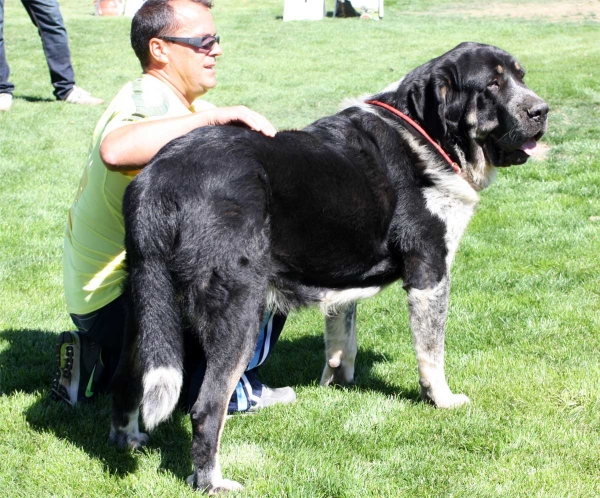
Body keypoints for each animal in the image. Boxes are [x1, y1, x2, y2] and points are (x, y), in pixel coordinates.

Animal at [109, 43, 548, 494]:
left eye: (521, 77)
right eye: (492, 84)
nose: (542, 111)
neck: (427, 134)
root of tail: (159, 178)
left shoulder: (345, 279)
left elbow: (342, 336)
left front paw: (337, 384)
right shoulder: (430, 272)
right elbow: (432, 352)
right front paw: (441, 400)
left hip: (146, 308)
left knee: (125, 381)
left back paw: (129, 439)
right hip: (240, 310)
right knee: (207, 407)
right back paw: (212, 482)